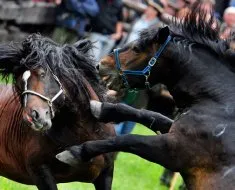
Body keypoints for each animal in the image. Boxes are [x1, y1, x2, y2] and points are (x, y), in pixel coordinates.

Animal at [56, 5, 235, 190]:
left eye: (136, 48)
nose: (101, 65)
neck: (217, 102)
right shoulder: (172, 128)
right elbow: (151, 115)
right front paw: (103, 109)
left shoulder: (173, 150)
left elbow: (129, 140)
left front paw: (76, 152)